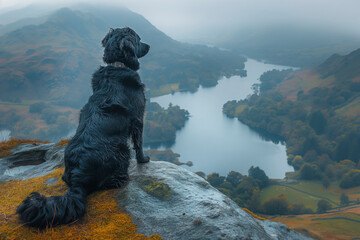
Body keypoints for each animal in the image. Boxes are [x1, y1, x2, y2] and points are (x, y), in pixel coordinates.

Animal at [15, 27, 149, 229]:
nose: (149, 45)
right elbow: (139, 142)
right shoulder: (138, 117)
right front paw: (143, 159)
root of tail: (78, 176)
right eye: (139, 39)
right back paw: (120, 179)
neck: (117, 66)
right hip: (121, 149)